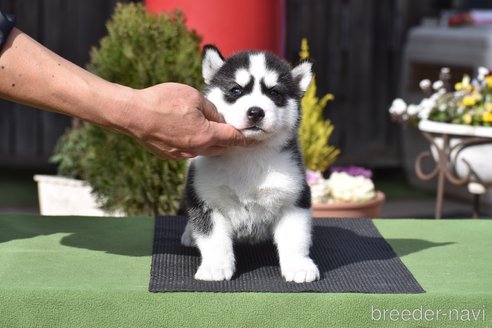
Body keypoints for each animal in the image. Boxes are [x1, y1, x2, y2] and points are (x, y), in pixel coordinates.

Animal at [181, 44, 320, 284]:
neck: (249, 152)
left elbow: (295, 238)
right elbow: (213, 239)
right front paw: (215, 267)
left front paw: (298, 265)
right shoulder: (206, 198)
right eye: (236, 90)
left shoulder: (294, 198)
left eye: (274, 93)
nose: (256, 112)